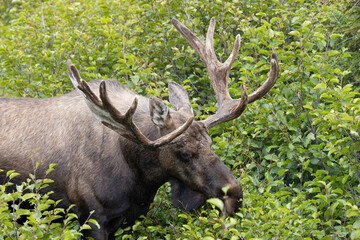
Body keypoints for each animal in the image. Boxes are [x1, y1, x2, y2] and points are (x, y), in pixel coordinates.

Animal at [0, 17, 278, 239]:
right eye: (184, 153)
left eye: (211, 144)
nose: (235, 195)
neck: (139, 175)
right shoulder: (91, 217)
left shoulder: (131, 218)